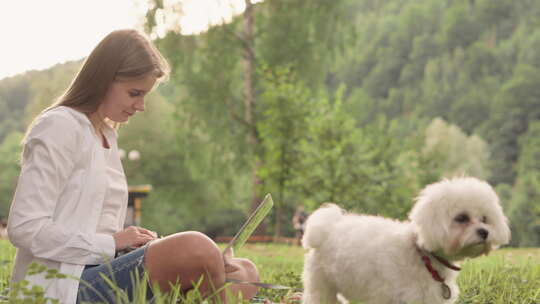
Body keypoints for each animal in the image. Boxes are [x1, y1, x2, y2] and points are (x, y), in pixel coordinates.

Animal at [304, 177, 510, 302]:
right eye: (461, 218)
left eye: (485, 219)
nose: (484, 232)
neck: (422, 254)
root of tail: (327, 226)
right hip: (321, 286)